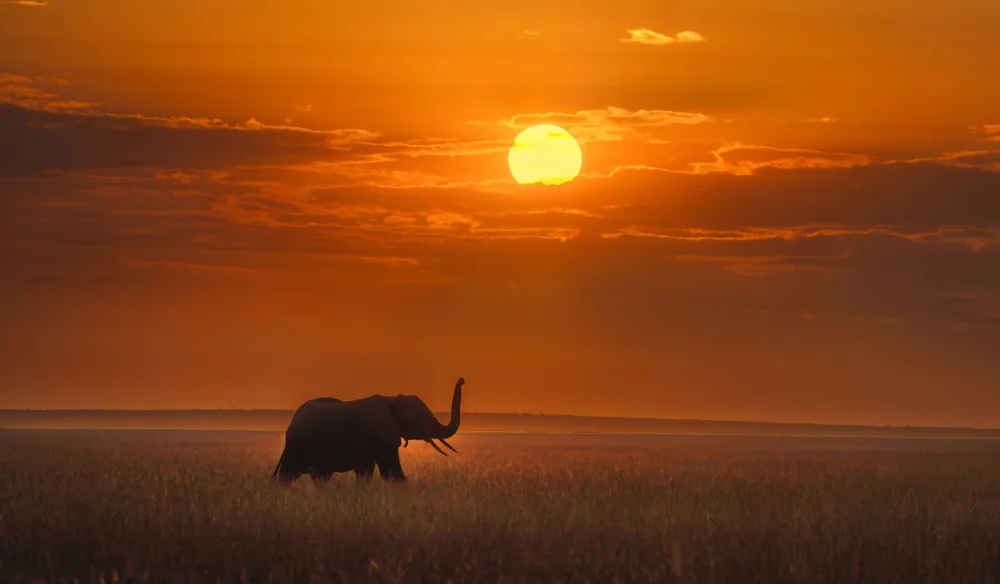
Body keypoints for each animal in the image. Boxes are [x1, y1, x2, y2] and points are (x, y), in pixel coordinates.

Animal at [272, 377, 464, 483]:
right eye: (416, 419)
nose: (462, 379)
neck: (390, 400)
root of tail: (293, 419)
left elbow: (392, 473)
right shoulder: (370, 437)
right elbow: (368, 472)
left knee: (320, 478)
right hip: (297, 445)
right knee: (287, 476)